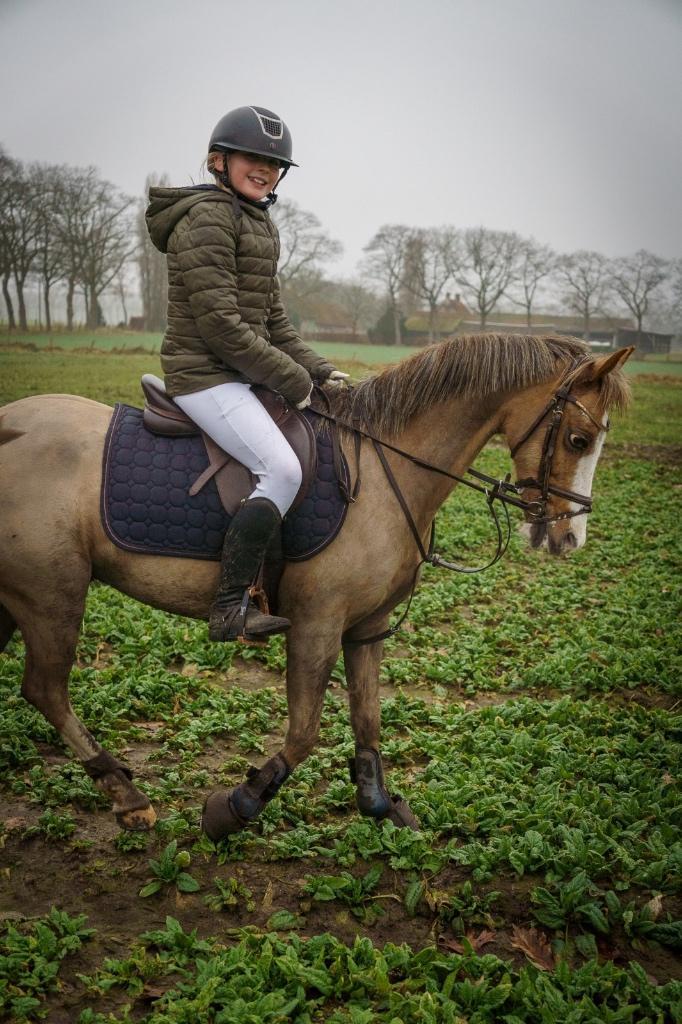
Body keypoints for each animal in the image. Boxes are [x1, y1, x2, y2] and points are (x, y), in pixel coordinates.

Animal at [0, 334, 632, 837]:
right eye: (578, 439)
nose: (569, 537)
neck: (382, 471)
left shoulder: (367, 626)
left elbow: (368, 719)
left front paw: (378, 802)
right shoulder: (317, 624)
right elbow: (304, 733)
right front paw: (236, 806)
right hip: (53, 597)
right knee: (46, 690)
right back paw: (126, 795)